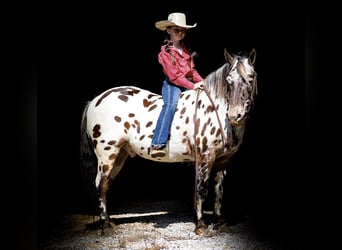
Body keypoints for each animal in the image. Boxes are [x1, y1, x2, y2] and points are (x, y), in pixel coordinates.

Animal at [79, 47, 256, 235]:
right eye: (229, 81)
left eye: (250, 78)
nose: (235, 115)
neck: (215, 110)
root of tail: (95, 101)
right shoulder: (205, 158)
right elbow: (201, 189)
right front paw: (201, 225)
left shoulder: (223, 160)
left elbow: (218, 190)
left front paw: (220, 222)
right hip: (107, 155)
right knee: (101, 185)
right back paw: (105, 225)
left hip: (120, 155)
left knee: (107, 184)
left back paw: (110, 222)